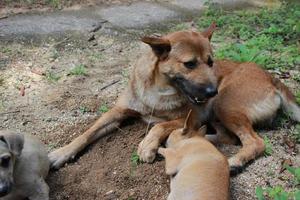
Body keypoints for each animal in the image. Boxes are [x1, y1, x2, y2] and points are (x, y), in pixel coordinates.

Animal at [48, 22, 298, 171]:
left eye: (211, 62)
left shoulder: (191, 116)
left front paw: (147, 146)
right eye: (190, 64)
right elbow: (87, 133)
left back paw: (234, 160)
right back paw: (198, 139)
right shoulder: (117, 112)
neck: (158, 91)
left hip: (224, 105)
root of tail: (272, 78)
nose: (212, 91)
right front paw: (62, 152)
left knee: (254, 141)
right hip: (219, 111)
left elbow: (160, 125)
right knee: (227, 137)